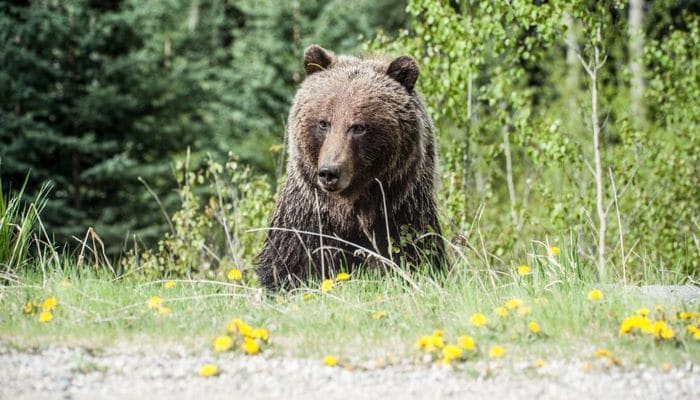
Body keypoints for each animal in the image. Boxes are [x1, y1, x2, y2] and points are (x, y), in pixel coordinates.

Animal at [256, 44, 442, 290]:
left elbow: (415, 256)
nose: (329, 172)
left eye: (359, 127)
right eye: (323, 123)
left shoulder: (402, 215)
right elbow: (289, 267)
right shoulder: (306, 221)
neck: (351, 209)